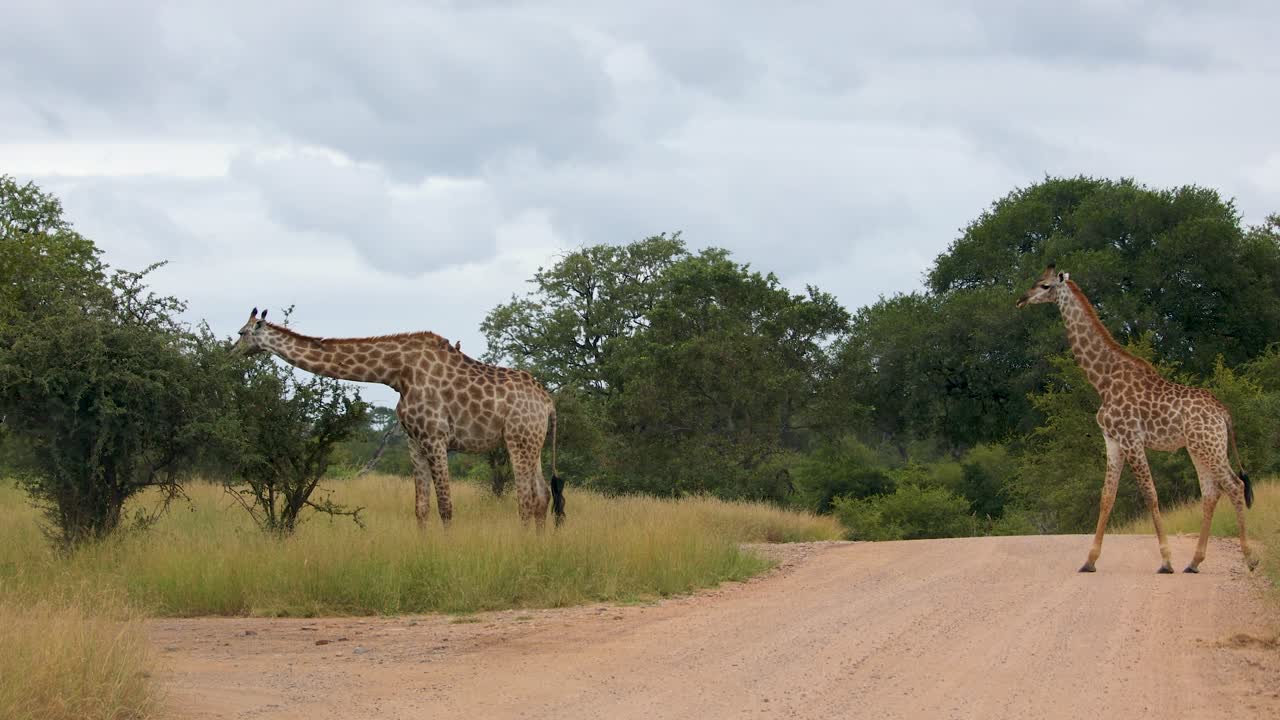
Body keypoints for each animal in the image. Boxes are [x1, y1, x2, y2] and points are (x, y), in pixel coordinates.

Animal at [231, 308, 565, 529]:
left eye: (242, 333)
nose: (229, 353)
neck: (396, 373)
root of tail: (548, 402)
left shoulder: (435, 437)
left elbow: (446, 506)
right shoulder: (414, 440)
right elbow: (421, 507)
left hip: (518, 440)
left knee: (526, 500)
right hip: (532, 442)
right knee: (542, 496)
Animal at [1017, 266, 1256, 574]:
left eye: (1045, 286)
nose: (1021, 300)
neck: (1103, 380)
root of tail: (1224, 413)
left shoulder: (1131, 439)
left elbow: (1150, 494)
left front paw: (1166, 561)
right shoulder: (1112, 441)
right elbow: (1107, 496)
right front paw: (1089, 561)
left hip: (1208, 446)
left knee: (1235, 486)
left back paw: (1249, 559)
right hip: (1199, 447)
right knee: (1211, 492)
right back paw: (1193, 562)